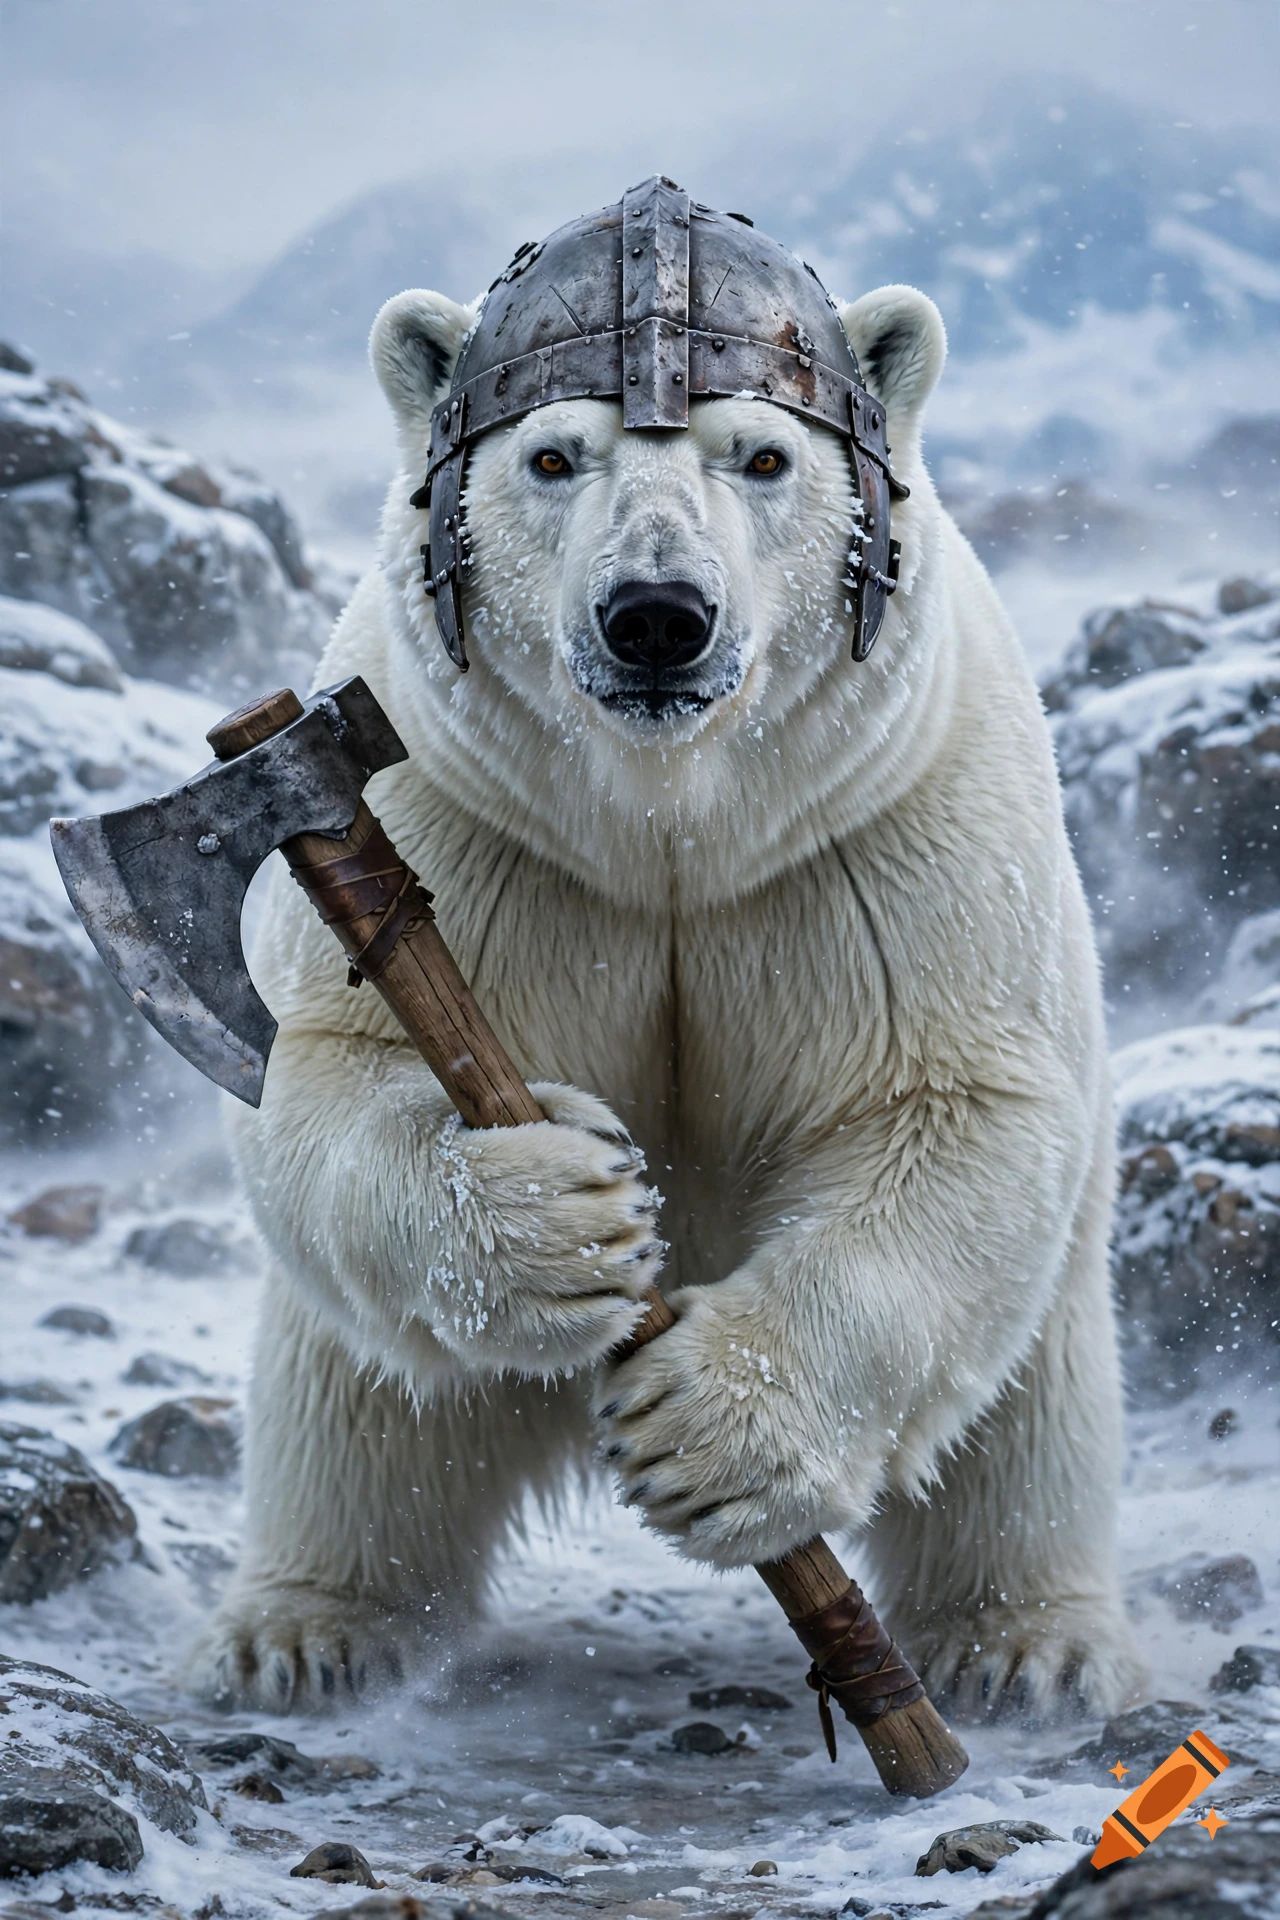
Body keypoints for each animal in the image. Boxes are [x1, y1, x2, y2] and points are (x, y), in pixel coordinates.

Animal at [190, 268, 1145, 1725]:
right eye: (550, 456)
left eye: (763, 456)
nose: (655, 613)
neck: (672, 820)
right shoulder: (466, 825)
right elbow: (324, 1067)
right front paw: (560, 1213)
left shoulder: (891, 836)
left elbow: (948, 1102)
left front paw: (709, 1430)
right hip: (362, 1366)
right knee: (356, 1426)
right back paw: (299, 1634)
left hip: (1050, 1313)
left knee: (1020, 1436)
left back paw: (1028, 1649)